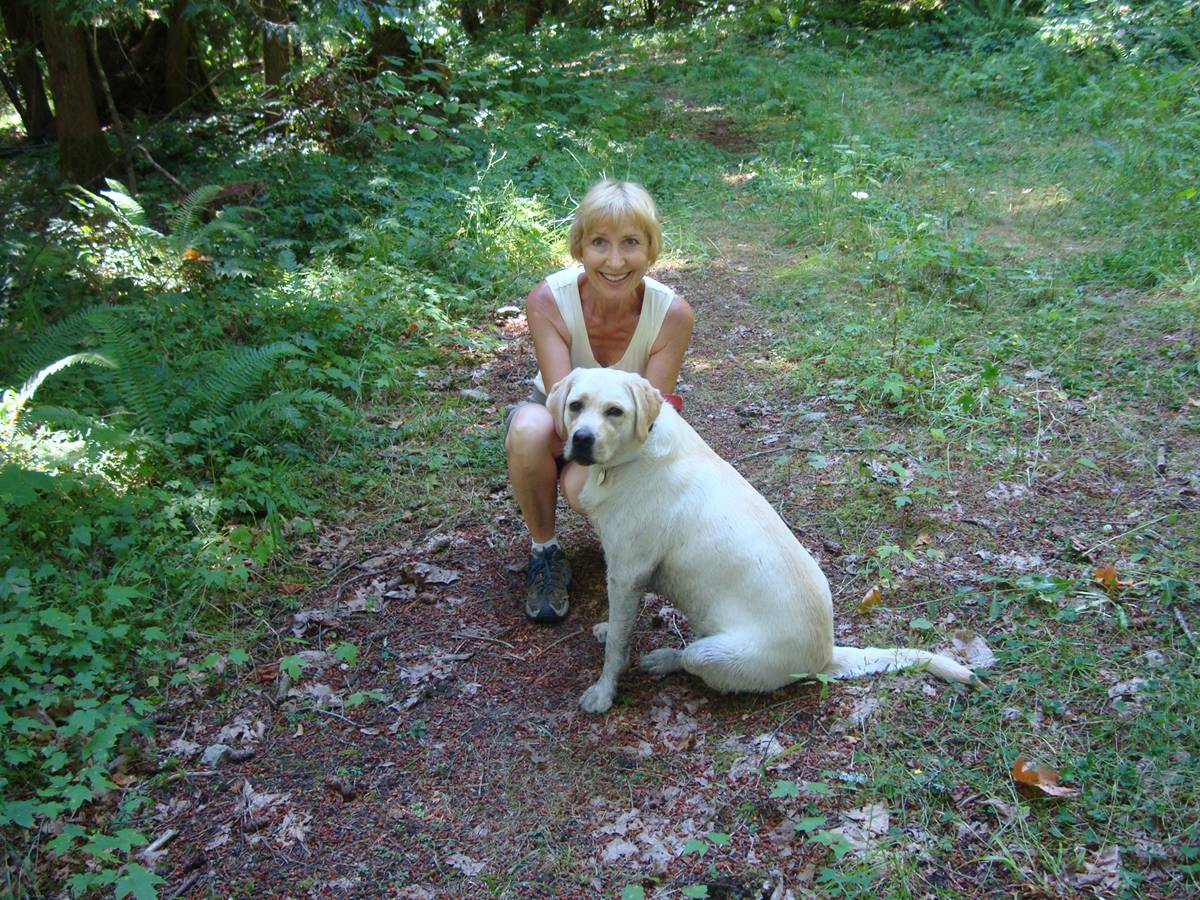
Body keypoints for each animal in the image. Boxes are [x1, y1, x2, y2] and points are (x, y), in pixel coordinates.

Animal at [549, 369, 979, 715]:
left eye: (615, 411)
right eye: (575, 406)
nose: (582, 439)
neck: (633, 454)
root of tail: (826, 655)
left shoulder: (627, 571)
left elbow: (616, 649)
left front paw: (604, 691)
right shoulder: (626, 575)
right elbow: (620, 628)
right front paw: (610, 631)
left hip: (711, 654)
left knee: (690, 658)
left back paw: (667, 658)